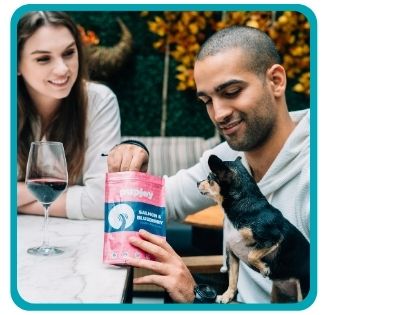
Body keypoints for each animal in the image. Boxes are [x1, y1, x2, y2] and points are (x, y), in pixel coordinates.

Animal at [198, 156, 310, 304]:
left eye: (209, 178)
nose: (197, 182)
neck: (241, 204)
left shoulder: (272, 238)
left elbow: (252, 255)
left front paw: (264, 268)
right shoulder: (232, 254)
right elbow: (233, 278)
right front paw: (227, 295)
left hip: (303, 288)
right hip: (277, 294)